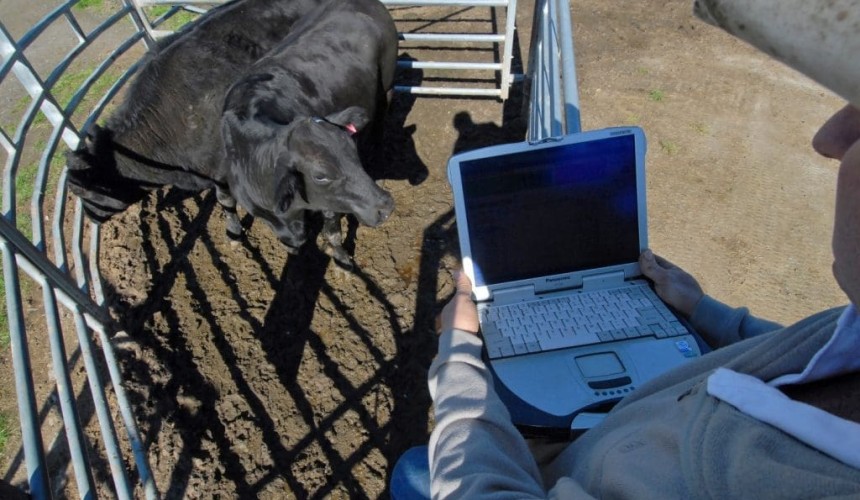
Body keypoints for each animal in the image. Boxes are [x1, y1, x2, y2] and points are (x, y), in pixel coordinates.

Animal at [219, 0, 398, 266]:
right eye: (320, 176)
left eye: (352, 152)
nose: (385, 206)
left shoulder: (330, 203)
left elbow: (332, 231)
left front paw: (342, 261)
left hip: (387, 86)